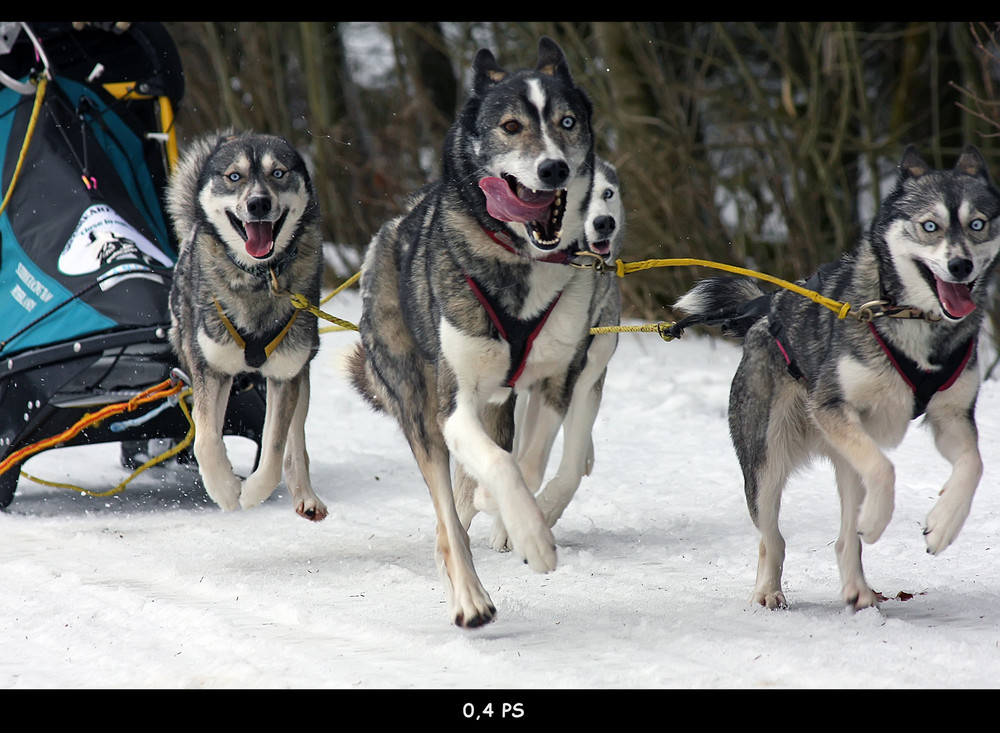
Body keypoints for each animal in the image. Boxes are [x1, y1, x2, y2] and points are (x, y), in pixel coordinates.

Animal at [168, 130, 328, 520]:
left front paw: (253, 492)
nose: (258, 204)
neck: (259, 278)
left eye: (278, 173)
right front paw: (225, 489)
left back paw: (305, 494)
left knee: (295, 442)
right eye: (234, 176)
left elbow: (274, 449)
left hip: (300, 373)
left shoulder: (285, 374)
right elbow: (206, 439)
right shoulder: (210, 368)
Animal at [348, 37, 596, 628]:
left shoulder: (554, 383)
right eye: (510, 126)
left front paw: (514, 517)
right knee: (447, 525)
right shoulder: (452, 406)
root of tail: (389, 231)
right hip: (419, 409)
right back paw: (469, 597)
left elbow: (529, 462)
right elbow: (502, 466)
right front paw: (533, 537)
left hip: (498, 405)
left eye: (567, 121)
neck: (520, 261)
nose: (552, 168)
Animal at [672, 144, 1000, 612]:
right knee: (772, 538)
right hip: (768, 460)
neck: (913, 321)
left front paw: (943, 524)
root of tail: (765, 311)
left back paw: (859, 589)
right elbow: (885, 469)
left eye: (977, 224)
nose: (960, 265)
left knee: (846, 539)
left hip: (845, 458)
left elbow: (972, 464)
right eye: (930, 226)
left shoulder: (951, 418)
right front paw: (879, 521)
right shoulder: (832, 406)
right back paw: (769, 590)